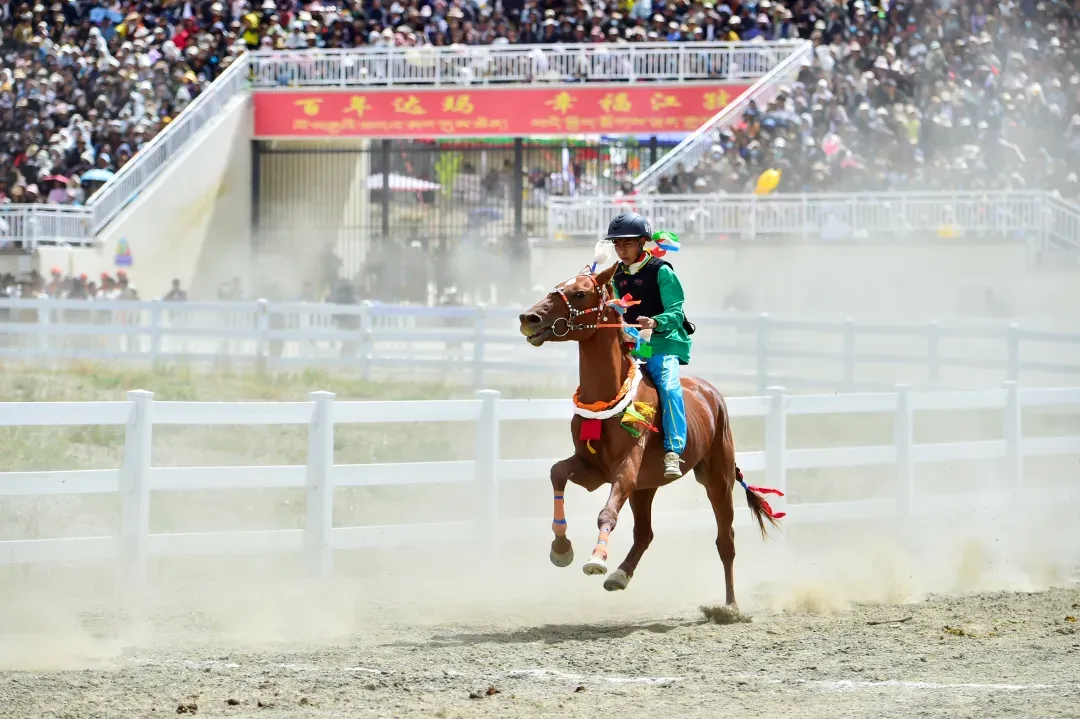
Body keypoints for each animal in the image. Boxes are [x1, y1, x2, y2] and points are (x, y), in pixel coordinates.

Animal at [517, 262, 784, 607]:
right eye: (558, 285)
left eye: (580, 293)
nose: (529, 318)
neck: (610, 394)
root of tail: (711, 394)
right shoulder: (593, 469)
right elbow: (557, 473)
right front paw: (561, 549)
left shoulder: (626, 470)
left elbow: (606, 512)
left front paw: (596, 558)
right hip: (646, 487)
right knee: (645, 533)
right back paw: (620, 575)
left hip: (718, 477)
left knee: (725, 540)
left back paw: (730, 605)